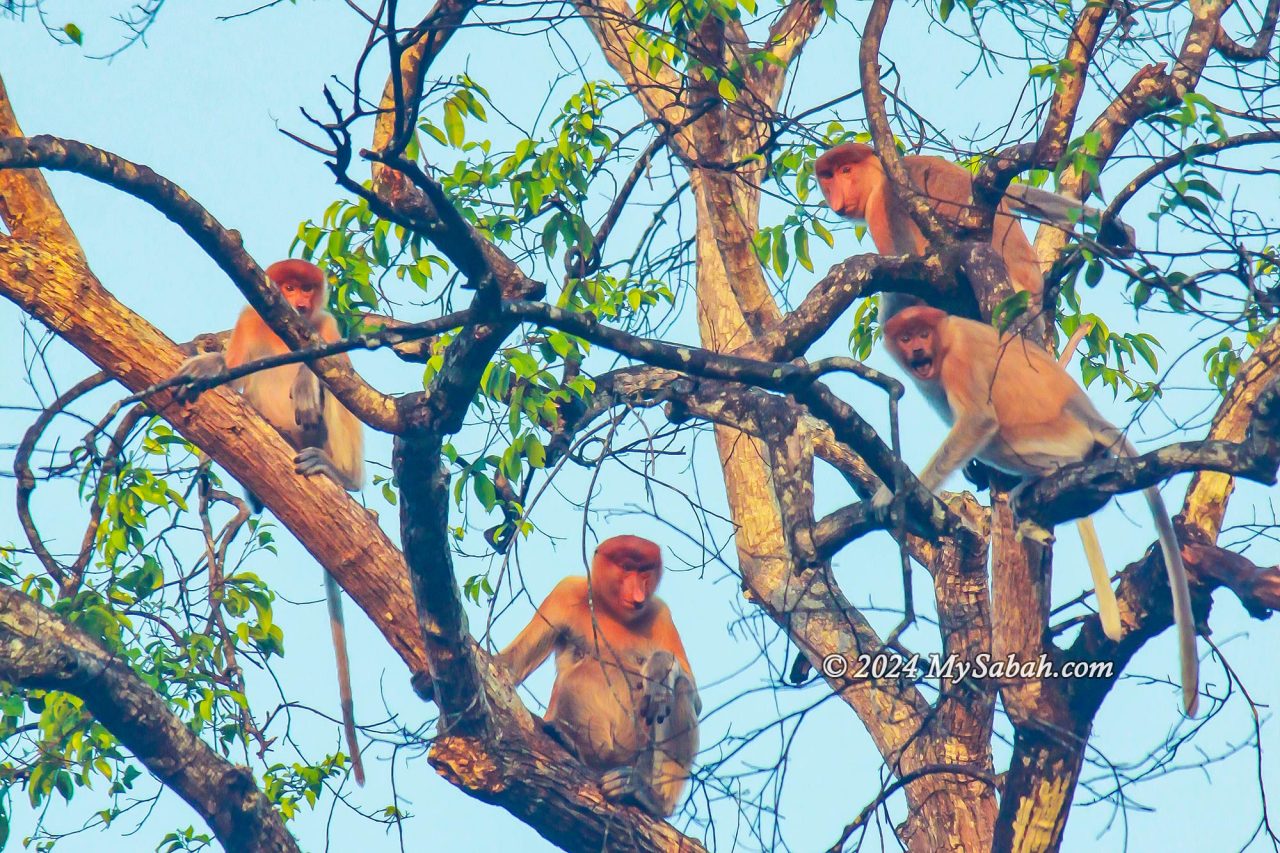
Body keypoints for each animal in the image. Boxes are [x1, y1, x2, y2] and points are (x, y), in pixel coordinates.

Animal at [174, 257, 371, 778]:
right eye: (288, 287)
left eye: (307, 289)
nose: (298, 304)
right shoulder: (247, 321)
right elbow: (232, 372)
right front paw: (207, 364)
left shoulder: (327, 325)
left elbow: (334, 371)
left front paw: (304, 379)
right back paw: (254, 494)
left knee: (339, 395)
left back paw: (342, 477)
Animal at [496, 535, 701, 814]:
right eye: (627, 568)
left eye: (644, 571)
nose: (638, 594)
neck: (611, 610)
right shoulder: (565, 592)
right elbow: (512, 663)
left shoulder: (660, 612)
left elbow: (694, 696)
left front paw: (658, 671)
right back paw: (567, 741)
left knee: (680, 688)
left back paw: (652, 799)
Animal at [875, 303, 1192, 712]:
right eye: (906, 336)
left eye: (922, 334)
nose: (916, 350)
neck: (945, 340)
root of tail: (1088, 415)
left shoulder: (958, 364)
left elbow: (978, 421)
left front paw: (891, 495)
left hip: (1051, 434)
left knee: (999, 435)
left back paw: (1046, 477)